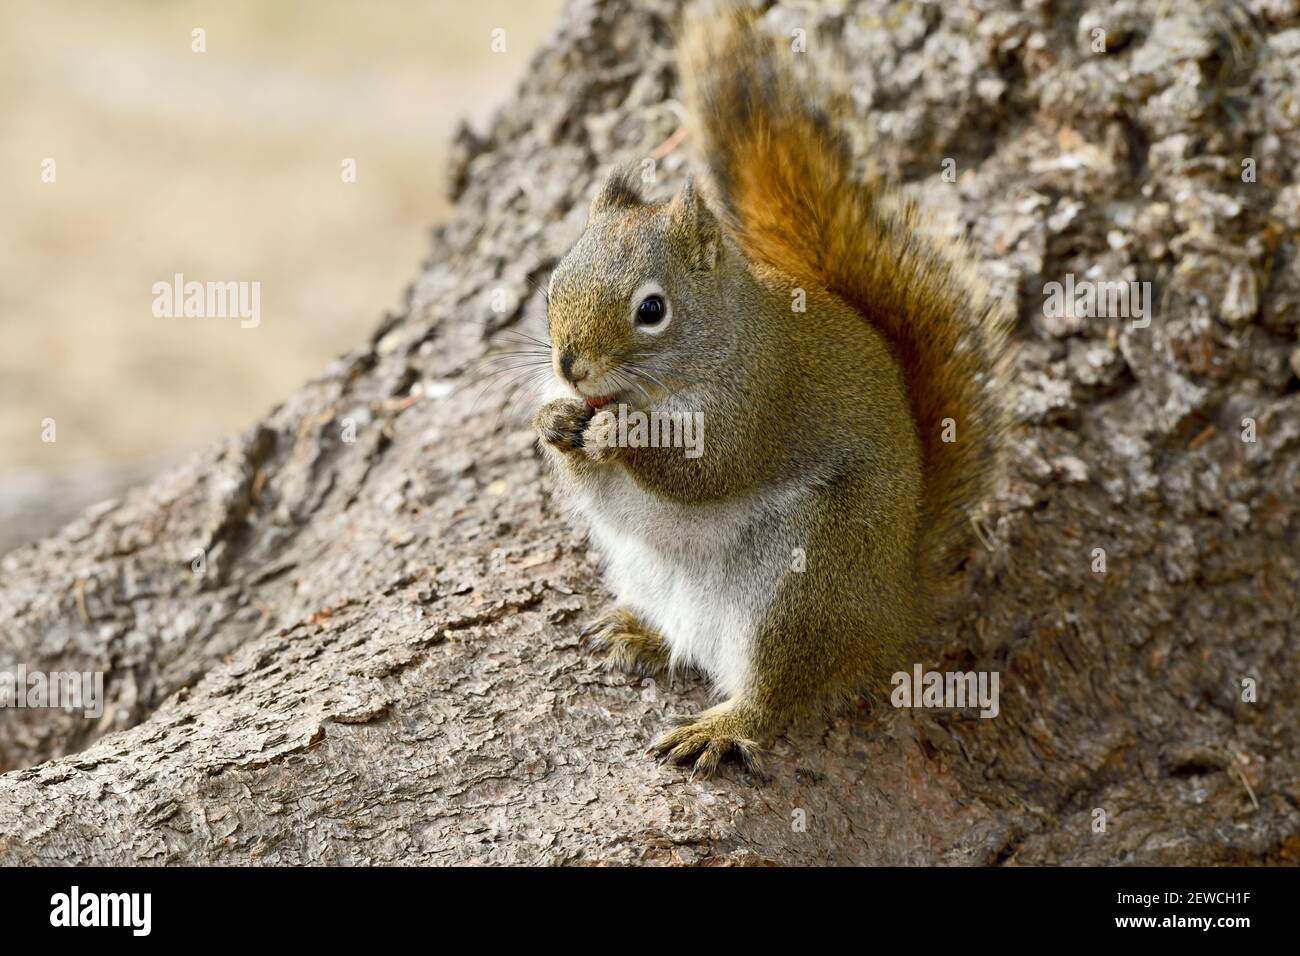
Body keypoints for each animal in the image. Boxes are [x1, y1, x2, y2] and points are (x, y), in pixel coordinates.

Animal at [533, 5, 1008, 780]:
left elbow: (707, 470)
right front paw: (555, 421)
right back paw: (639, 631)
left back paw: (721, 726)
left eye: (652, 310)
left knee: (777, 694)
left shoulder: (761, 401)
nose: (570, 367)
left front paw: (621, 435)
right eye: (552, 284)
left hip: (804, 585)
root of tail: (892, 611)